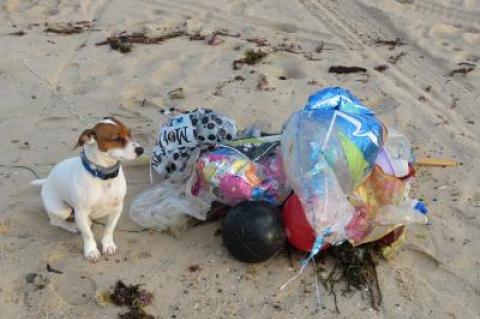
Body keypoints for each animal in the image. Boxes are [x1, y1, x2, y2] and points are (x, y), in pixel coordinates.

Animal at [31, 117, 142, 262]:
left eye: (130, 133)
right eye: (116, 138)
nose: (141, 149)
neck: (104, 177)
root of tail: (47, 181)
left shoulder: (117, 209)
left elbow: (109, 229)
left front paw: (108, 244)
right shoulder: (81, 212)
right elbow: (88, 235)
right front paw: (91, 250)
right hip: (63, 210)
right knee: (55, 221)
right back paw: (72, 227)